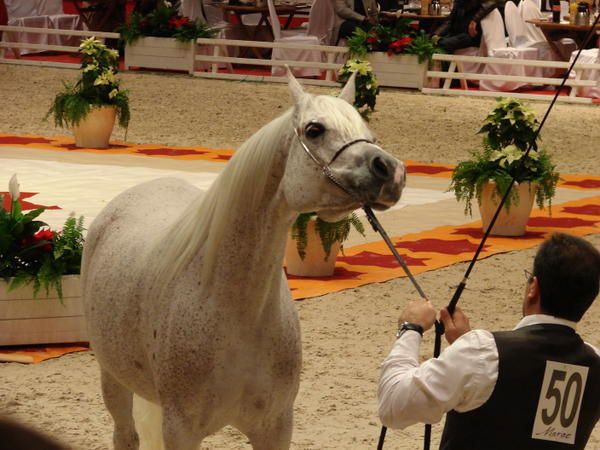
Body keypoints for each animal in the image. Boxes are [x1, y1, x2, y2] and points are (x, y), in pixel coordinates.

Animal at [81, 72, 408, 448]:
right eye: (314, 129)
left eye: (369, 133)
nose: (391, 170)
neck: (236, 311)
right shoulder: (180, 428)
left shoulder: (275, 426)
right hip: (113, 380)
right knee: (125, 434)